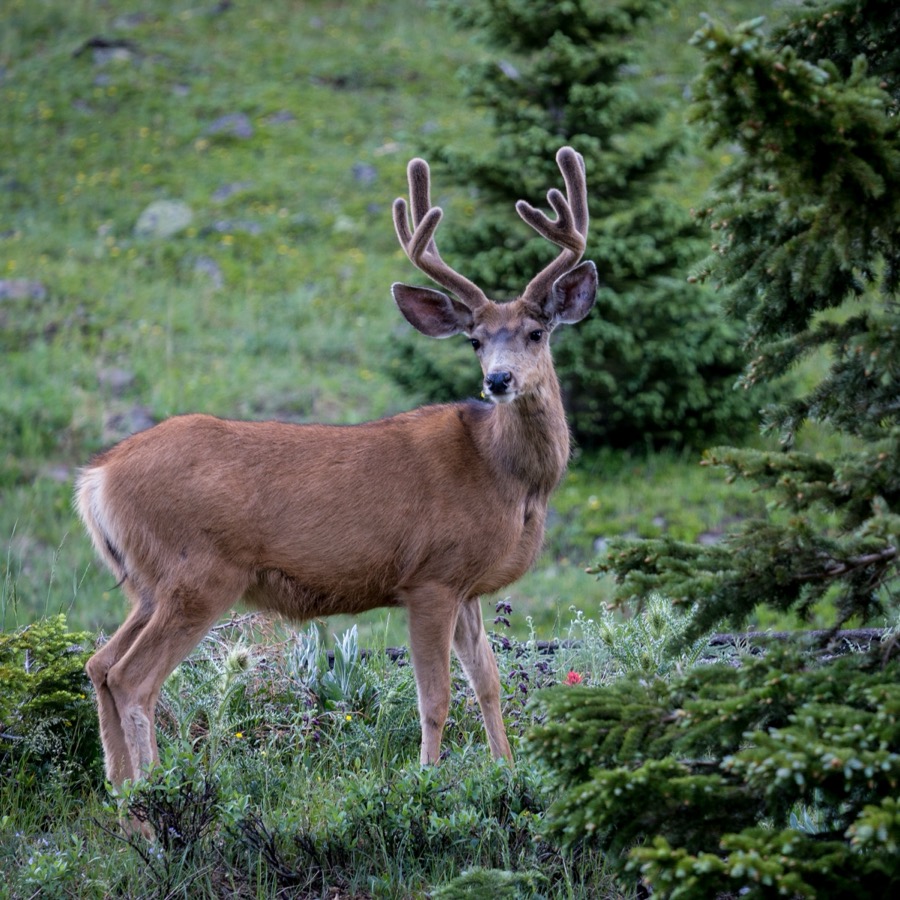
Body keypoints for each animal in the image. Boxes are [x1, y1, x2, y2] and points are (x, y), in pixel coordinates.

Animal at [76, 146, 596, 793]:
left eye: (536, 331)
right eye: (474, 340)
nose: (498, 380)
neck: (507, 478)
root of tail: (96, 479)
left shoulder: (467, 585)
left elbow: (489, 684)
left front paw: (507, 772)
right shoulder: (429, 577)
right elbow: (435, 697)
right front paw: (424, 782)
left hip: (147, 582)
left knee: (99, 663)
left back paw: (121, 794)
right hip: (197, 571)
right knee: (132, 678)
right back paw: (152, 796)